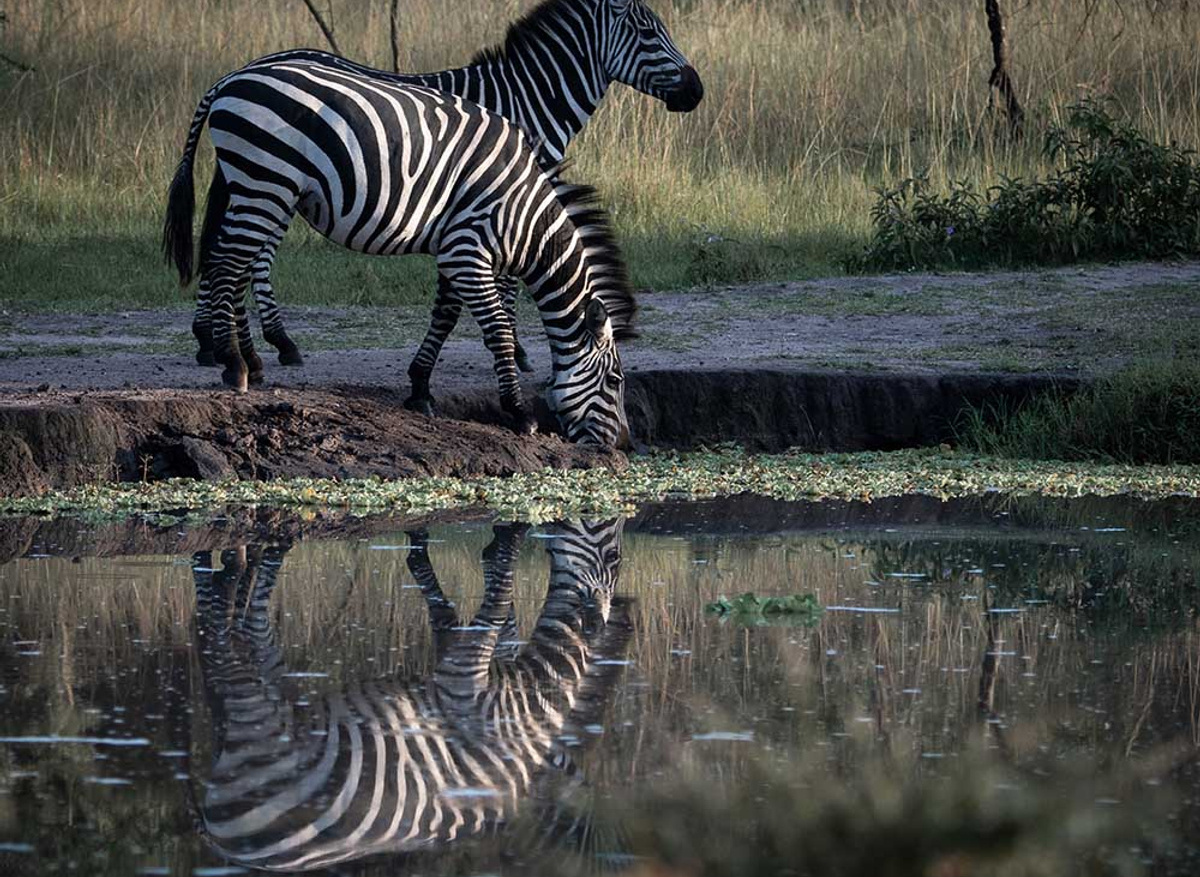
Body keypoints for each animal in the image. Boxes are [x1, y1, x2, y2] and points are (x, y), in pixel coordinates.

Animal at [163, 59, 635, 445]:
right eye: (615, 380)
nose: (624, 445)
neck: (524, 216)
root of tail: (228, 80)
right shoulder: (467, 250)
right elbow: (498, 330)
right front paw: (519, 413)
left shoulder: (455, 250)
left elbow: (444, 317)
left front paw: (420, 388)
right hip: (266, 181)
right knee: (228, 265)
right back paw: (233, 364)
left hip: (254, 186)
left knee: (232, 264)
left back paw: (250, 360)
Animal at [188, 520, 632, 872]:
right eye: (615, 556)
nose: (604, 619)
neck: (527, 706)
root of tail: (220, 846)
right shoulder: (465, 682)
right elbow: (499, 591)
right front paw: (510, 531)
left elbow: (455, 599)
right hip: (258, 732)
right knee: (223, 648)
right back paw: (226, 566)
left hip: (275, 706)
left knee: (251, 631)